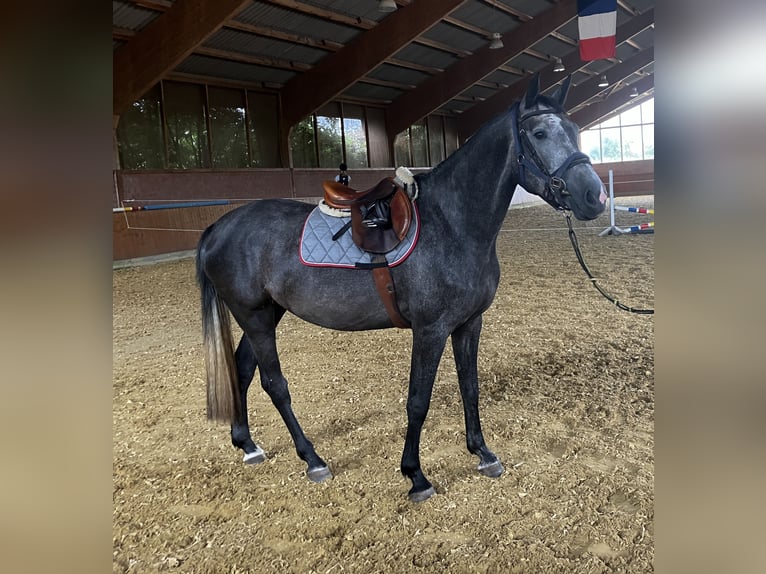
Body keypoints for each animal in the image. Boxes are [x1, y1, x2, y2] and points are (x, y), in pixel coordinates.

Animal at [196, 74, 608, 502]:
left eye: (574, 130)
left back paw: (248, 444)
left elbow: (470, 387)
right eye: (539, 133)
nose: (594, 197)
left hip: (264, 314)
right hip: (255, 317)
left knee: (242, 371)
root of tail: (218, 228)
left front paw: (482, 452)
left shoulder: (469, 324)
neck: (452, 224)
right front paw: (415, 475)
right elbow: (418, 401)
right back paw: (313, 459)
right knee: (274, 384)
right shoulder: (430, 330)